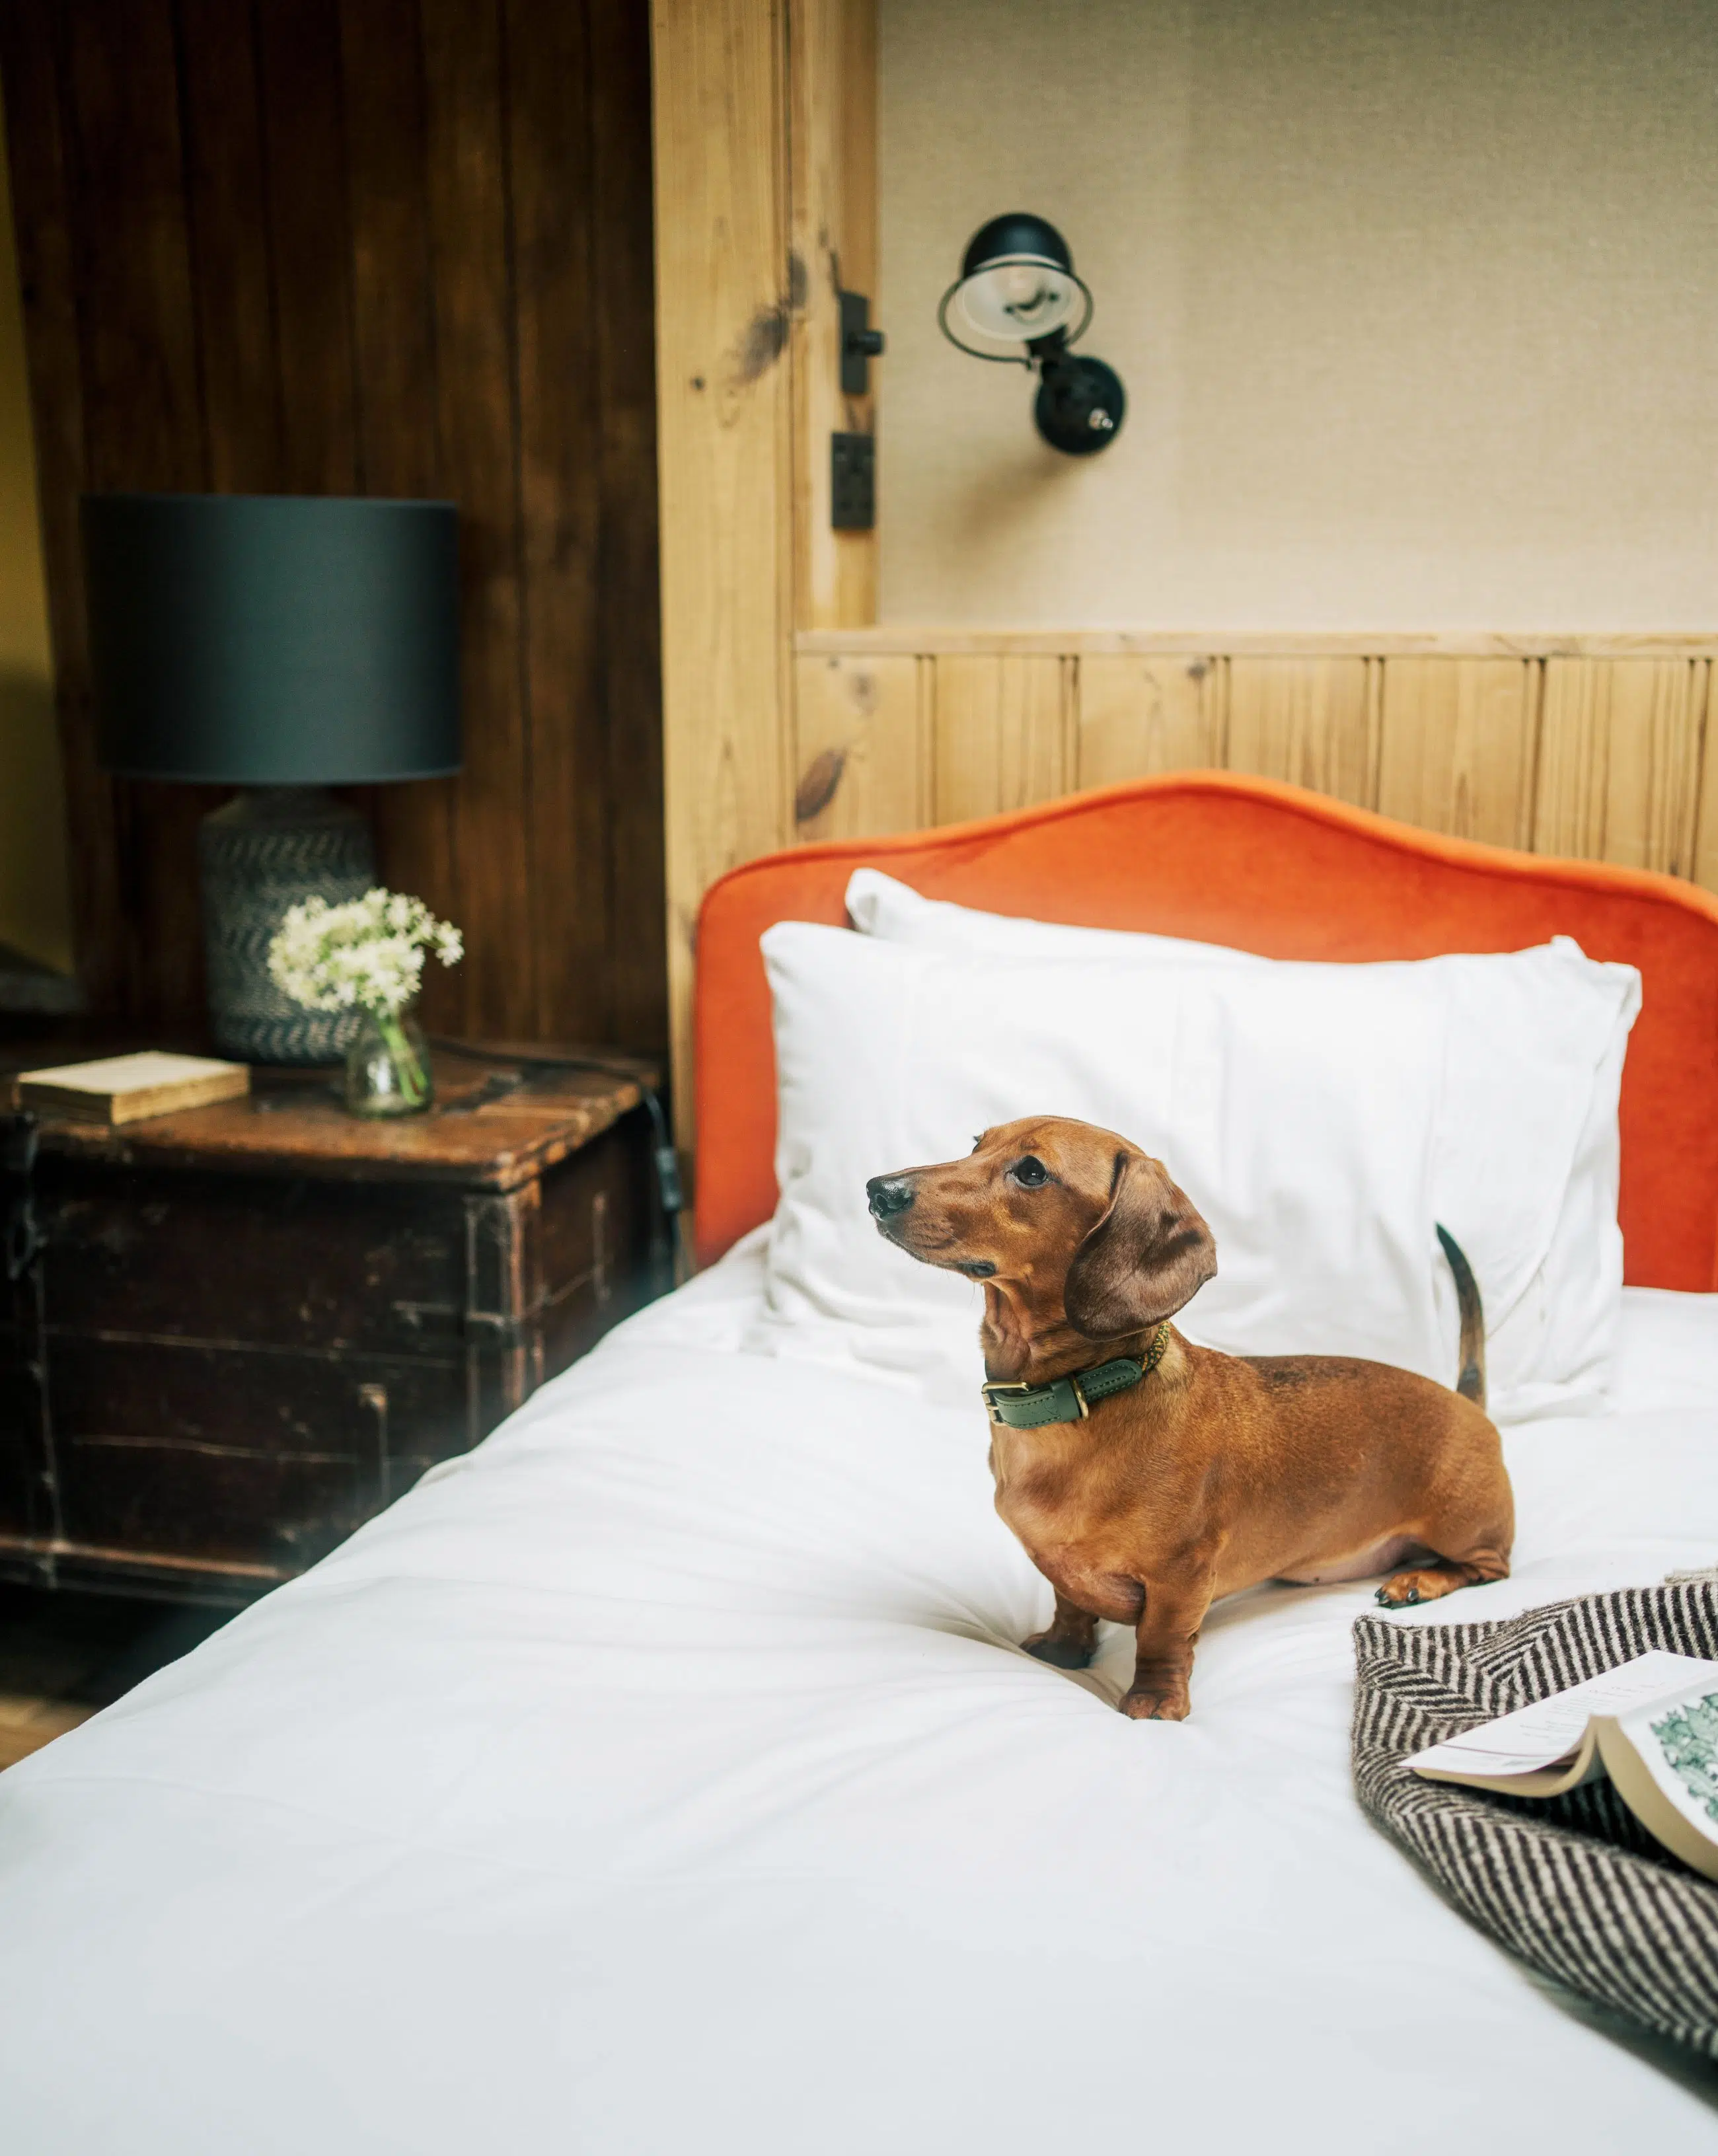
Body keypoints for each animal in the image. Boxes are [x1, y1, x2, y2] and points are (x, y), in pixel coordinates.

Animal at [866, 1116, 1513, 1721]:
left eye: (1031, 1171)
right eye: (977, 1143)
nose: (878, 1189)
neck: (1081, 1395)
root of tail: (1465, 1402)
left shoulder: (1181, 1578)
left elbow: (1162, 1638)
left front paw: (1155, 1700)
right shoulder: (1060, 1566)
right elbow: (1069, 1603)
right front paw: (1063, 1648)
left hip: (1462, 1523)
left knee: (1489, 1567)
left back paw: (1420, 1580)